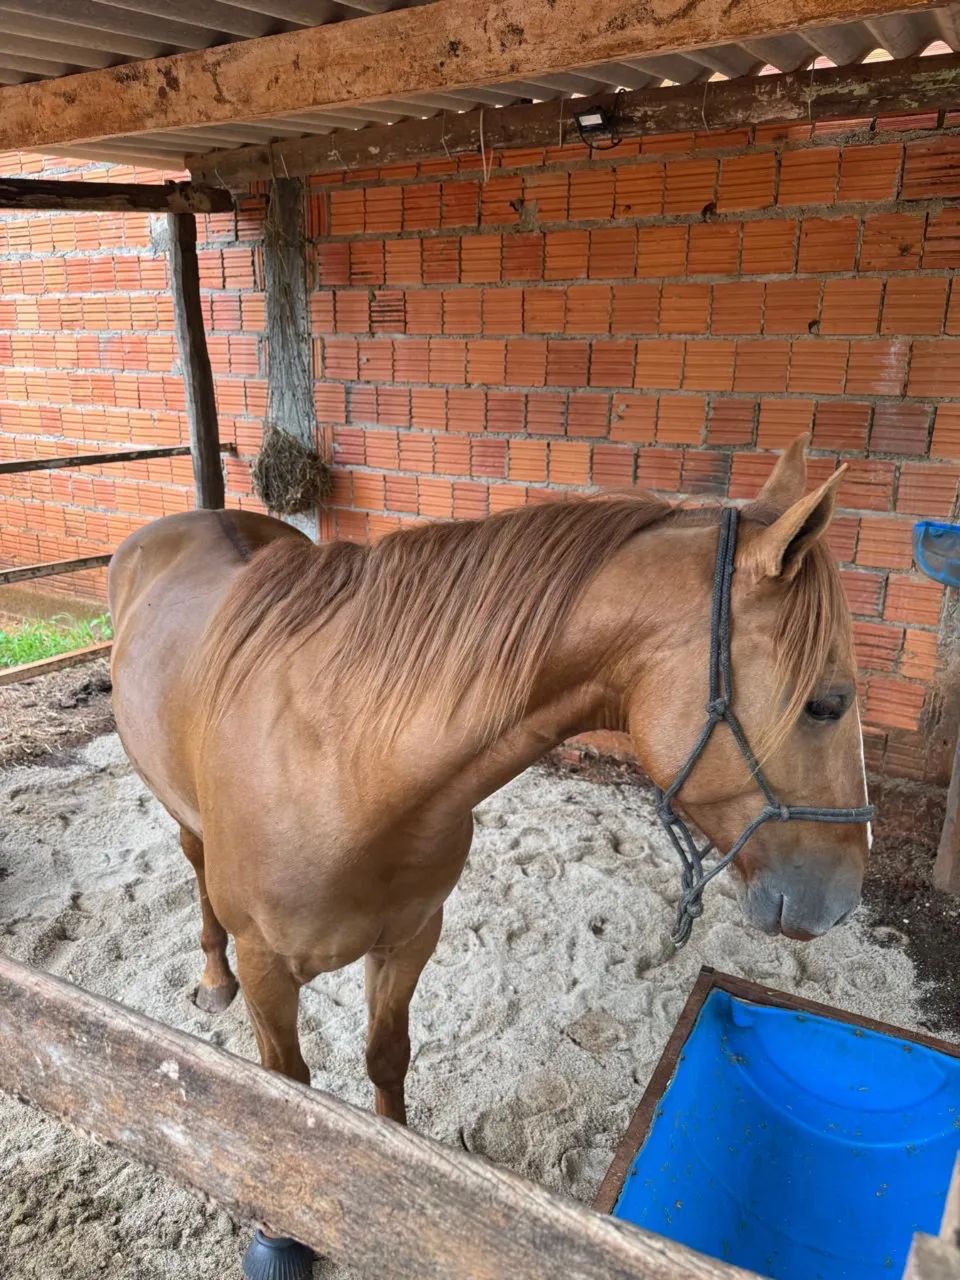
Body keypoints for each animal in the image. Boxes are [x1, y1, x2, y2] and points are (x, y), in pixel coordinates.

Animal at [108, 435, 872, 1129]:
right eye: (826, 703)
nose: (840, 900)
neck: (345, 766)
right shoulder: (269, 971)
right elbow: (288, 1087)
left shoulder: (409, 941)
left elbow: (387, 1059)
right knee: (195, 866)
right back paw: (214, 979)